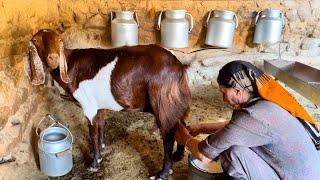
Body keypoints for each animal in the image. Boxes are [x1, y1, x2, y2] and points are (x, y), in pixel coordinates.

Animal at [25, 29, 190, 179]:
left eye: (59, 40)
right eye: (36, 41)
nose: (53, 58)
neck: (71, 66)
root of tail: (179, 67)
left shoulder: (89, 105)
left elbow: (93, 133)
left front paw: (94, 163)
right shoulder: (99, 104)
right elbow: (100, 125)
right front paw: (99, 149)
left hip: (162, 101)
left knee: (168, 134)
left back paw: (163, 173)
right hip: (174, 101)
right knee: (182, 125)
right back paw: (178, 155)